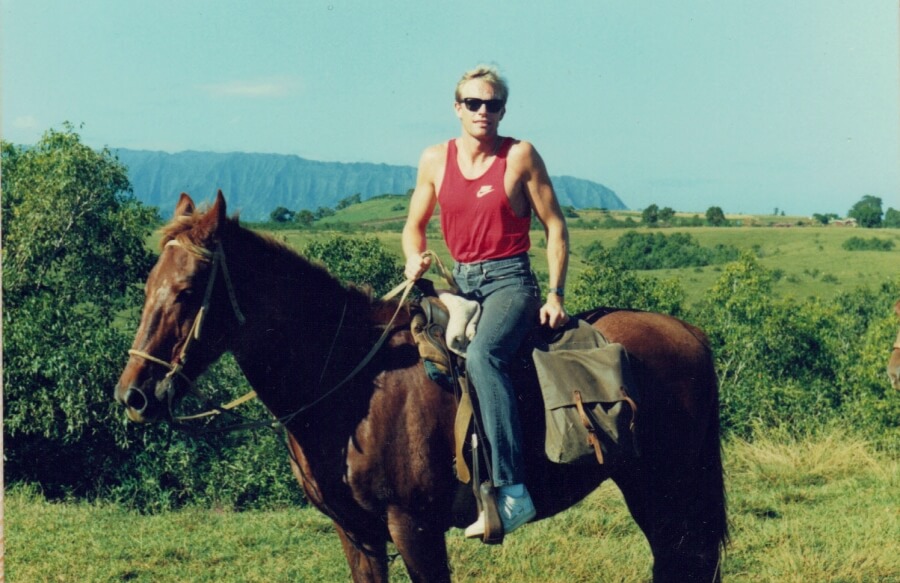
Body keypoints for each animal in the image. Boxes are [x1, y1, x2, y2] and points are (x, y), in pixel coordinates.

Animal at [116, 193, 728, 583]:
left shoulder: (415, 528)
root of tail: (690, 333)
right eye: (147, 285)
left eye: (188, 291)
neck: (352, 385)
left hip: (663, 489)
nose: (133, 396)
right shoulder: (358, 534)